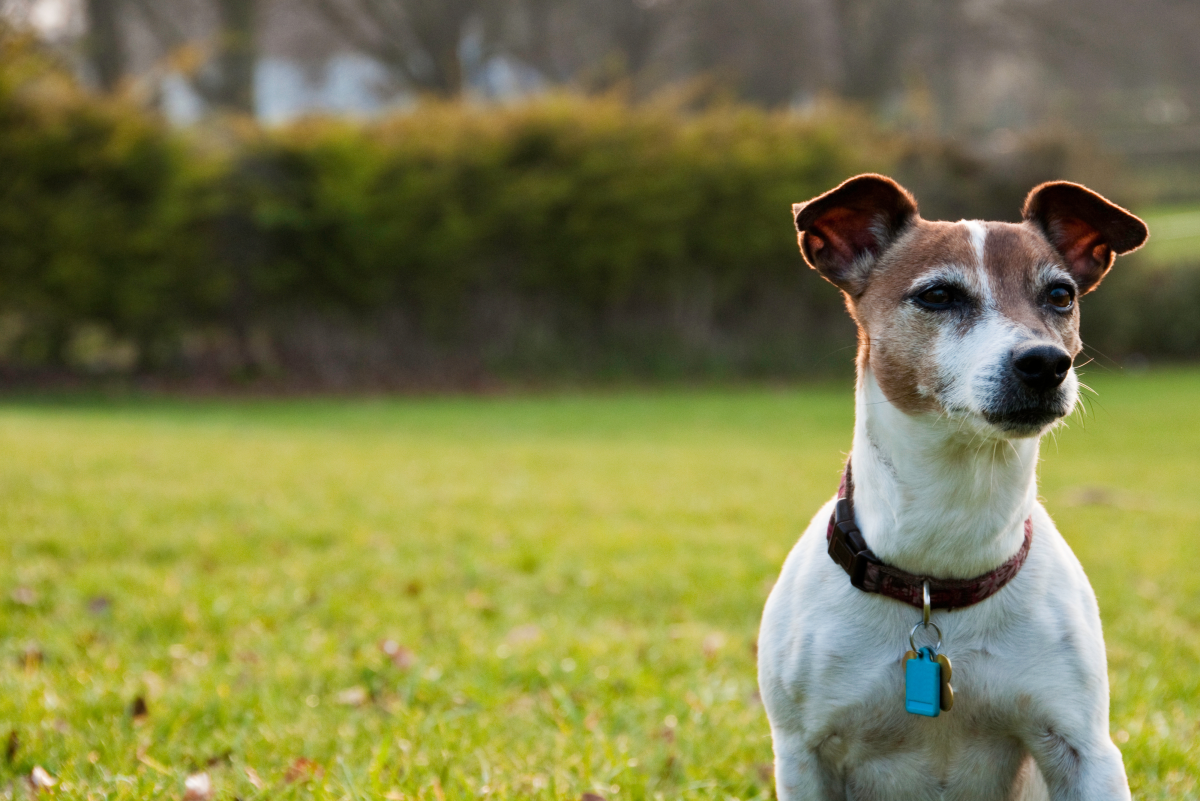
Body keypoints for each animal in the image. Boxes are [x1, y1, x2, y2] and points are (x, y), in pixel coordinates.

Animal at [763, 176, 1147, 801]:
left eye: (1060, 295)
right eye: (938, 296)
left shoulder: (1084, 749)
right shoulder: (803, 755)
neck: (940, 566)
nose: (1046, 362)